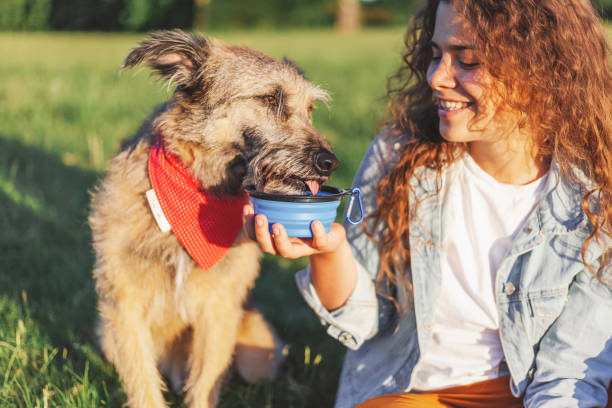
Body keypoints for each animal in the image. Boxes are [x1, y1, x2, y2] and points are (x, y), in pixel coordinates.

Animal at [89, 29, 340, 408]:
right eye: (270, 98)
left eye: (309, 109)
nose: (329, 162)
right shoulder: (124, 305)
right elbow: (143, 383)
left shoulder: (219, 309)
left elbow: (206, 382)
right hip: (107, 333)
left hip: (257, 353)